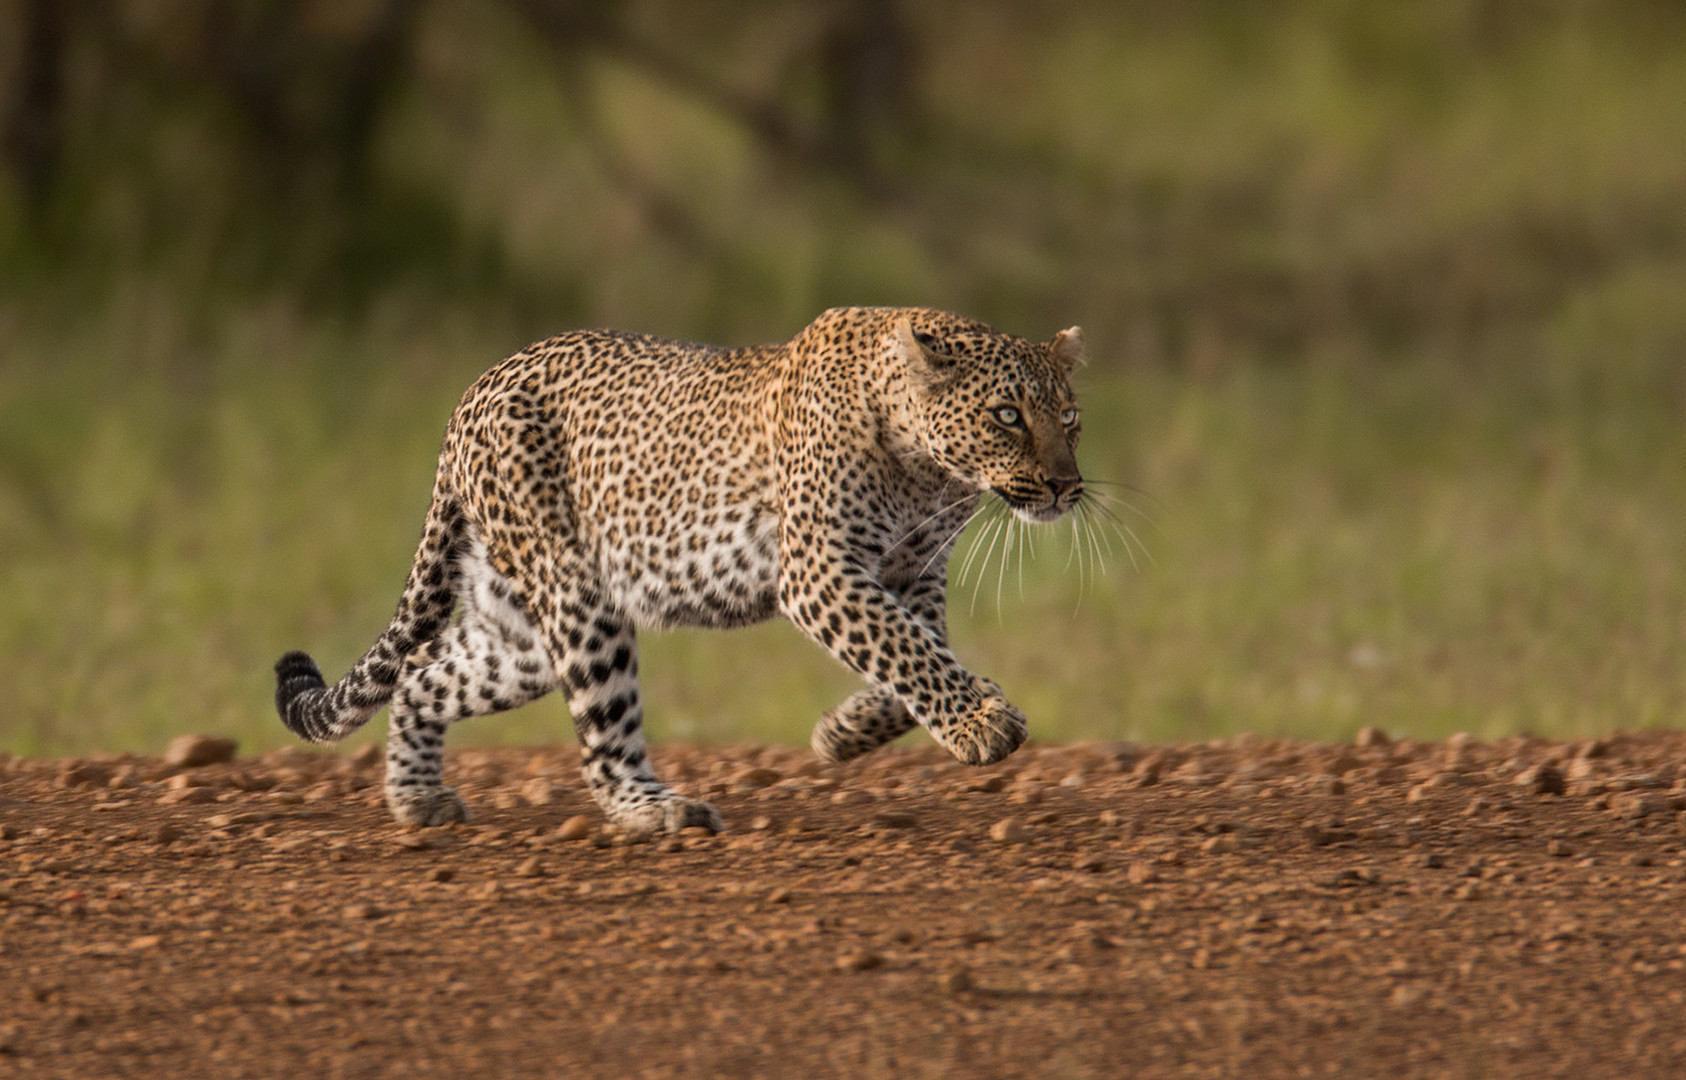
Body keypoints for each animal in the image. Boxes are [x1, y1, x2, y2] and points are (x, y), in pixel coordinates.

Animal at [273, 303, 1092, 835]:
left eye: (1070, 420)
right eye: (1007, 416)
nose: (1064, 485)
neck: (930, 476)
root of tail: (470, 396)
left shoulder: (913, 578)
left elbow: (915, 657)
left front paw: (845, 733)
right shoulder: (821, 571)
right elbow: (907, 652)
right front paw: (984, 723)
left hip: (521, 633)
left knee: (422, 672)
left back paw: (416, 801)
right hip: (577, 601)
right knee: (602, 737)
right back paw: (655, 809)